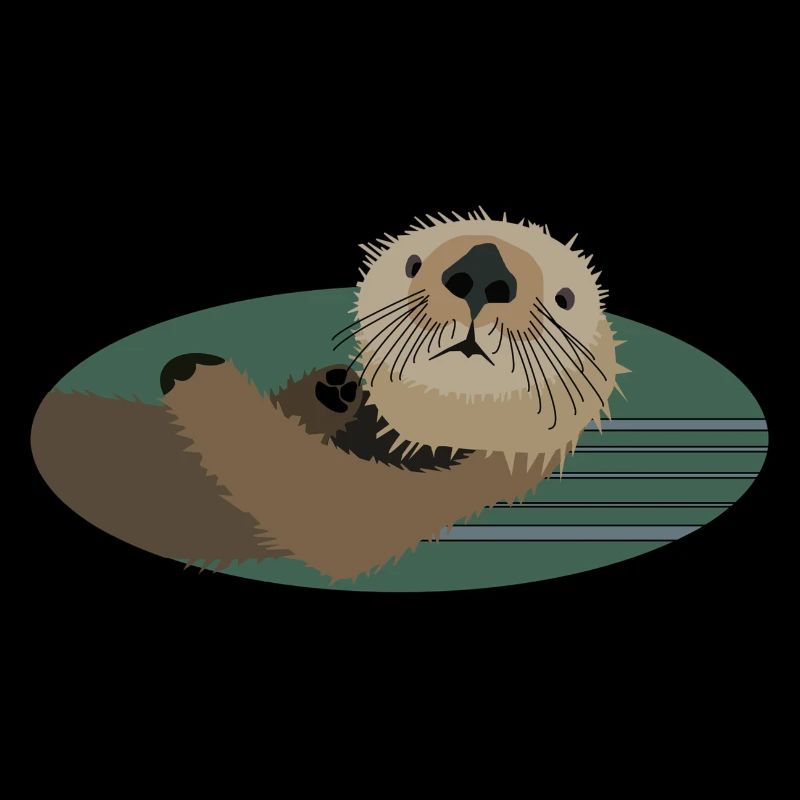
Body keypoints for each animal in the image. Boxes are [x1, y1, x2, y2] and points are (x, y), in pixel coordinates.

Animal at [31, 210, 628, 581]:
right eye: (413, 262)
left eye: (566, 297)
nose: (481, 271)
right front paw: (335, 388)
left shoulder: (440, 488)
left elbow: (306, 497)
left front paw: (193, 371)